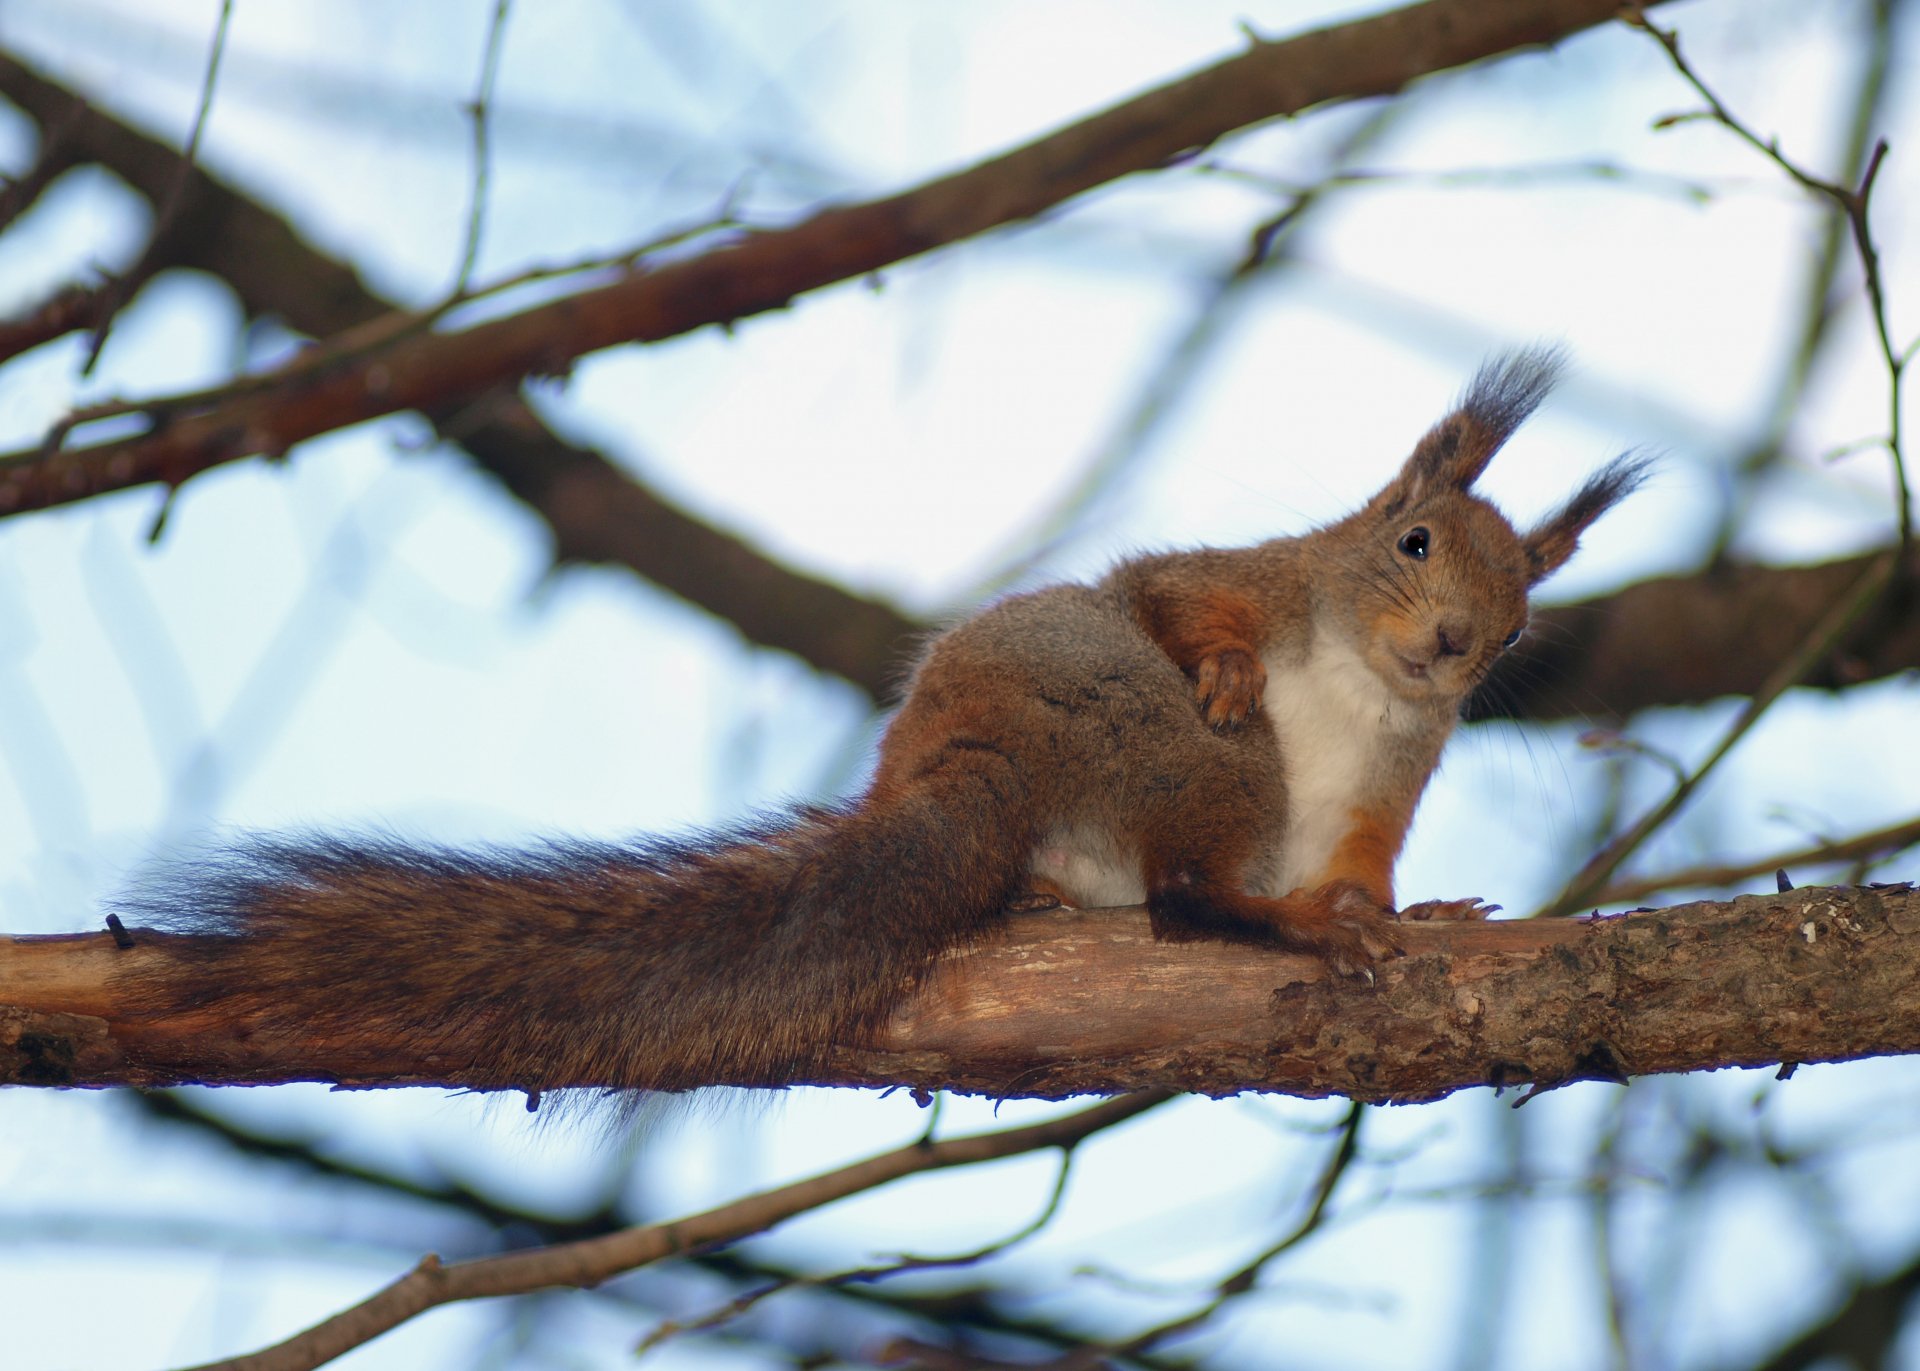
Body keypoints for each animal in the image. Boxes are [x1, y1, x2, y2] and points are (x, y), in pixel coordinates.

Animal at [113, 348, 1645, 1094]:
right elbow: (1177, 596)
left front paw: (1419, 911)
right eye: (1411, 540)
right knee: (1187, 894)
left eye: (1521, 623)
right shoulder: (1257, 581)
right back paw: (1279, 920)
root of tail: (961, 763)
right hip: (1168, 744)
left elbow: (1369, 856)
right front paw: (1218, 664)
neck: (1366, 679)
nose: (1453, 646)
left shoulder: (1391, 774)